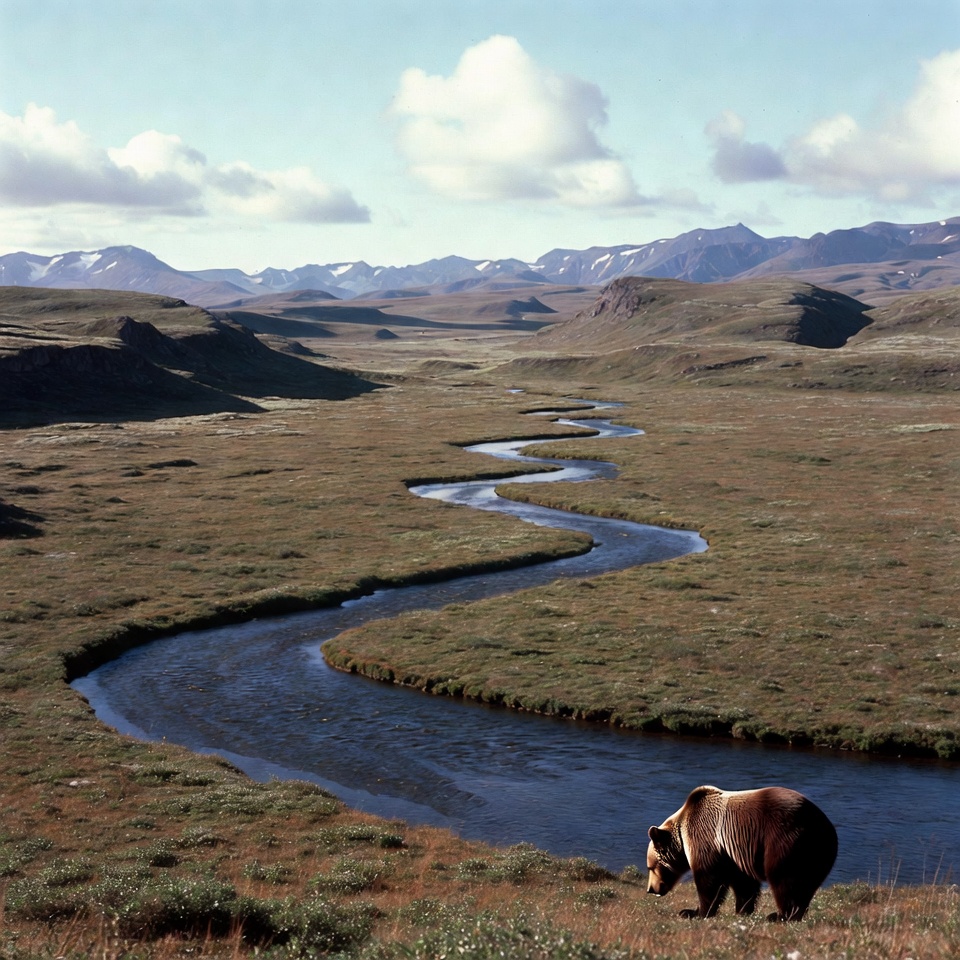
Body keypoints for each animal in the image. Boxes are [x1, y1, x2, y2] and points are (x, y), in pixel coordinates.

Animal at [646, 784, 837, 921]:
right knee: (806, 884)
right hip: (818, 854)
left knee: (783, 877)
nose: (650, 889)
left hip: (785, 839)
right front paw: (743, 910)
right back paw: (795, 913)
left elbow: (710, 880)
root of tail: (823, 823)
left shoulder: (707, 838)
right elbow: (743, 883)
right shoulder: (735, 854)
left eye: (650, 867)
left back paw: (779, 915)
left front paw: (694, 912)